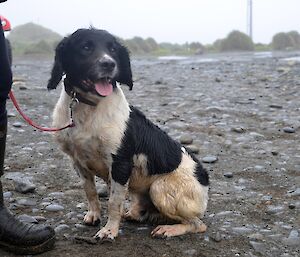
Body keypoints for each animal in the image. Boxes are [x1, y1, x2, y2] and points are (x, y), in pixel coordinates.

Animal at [47, 28, 209, 238]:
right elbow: (91, 192)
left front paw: (109, 230)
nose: (109, 64)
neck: (89, 106)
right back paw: (134, 213)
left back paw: (170, 228)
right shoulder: (78, 162)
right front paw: (94, 215)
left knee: (197, 224)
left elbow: (114, 202)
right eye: (85, 47)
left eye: (113, 49)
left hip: (159, 188)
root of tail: (204, 179)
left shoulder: (120, 163)